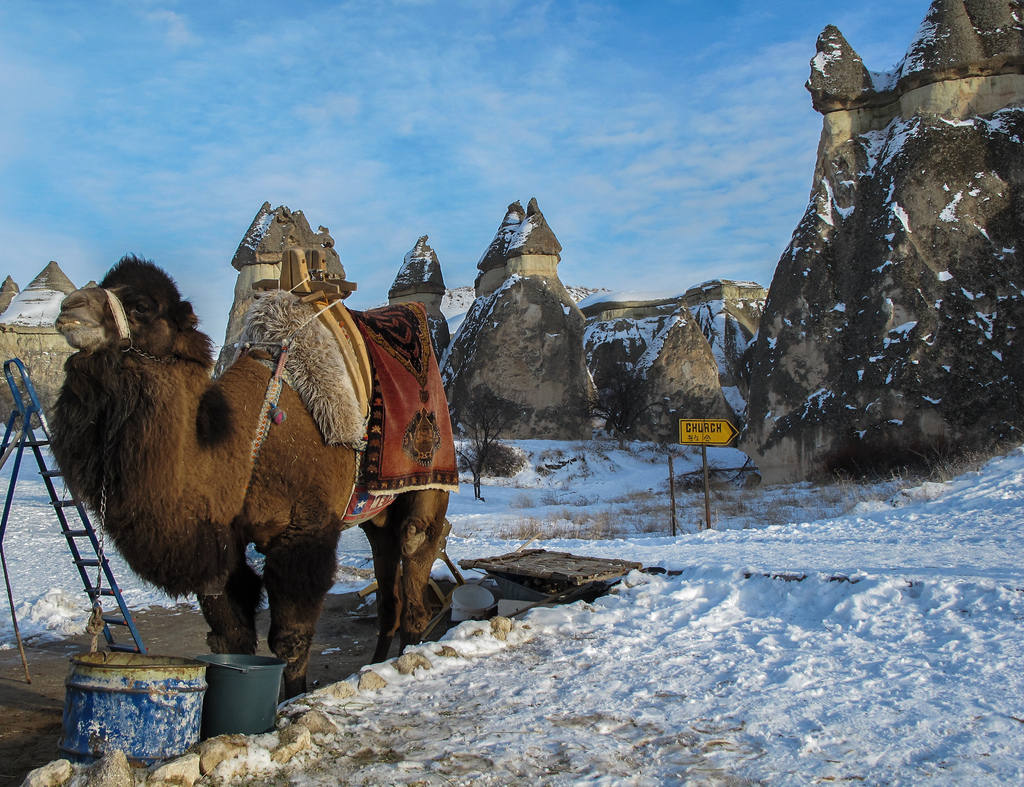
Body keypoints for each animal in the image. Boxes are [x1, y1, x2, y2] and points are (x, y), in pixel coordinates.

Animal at [48, 254, 448, 695]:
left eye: (142, 307)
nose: (69, 308)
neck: (244, 449)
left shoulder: (305, 532)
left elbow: (290, 640)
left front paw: (290, 701)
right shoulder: (225, 540)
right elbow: (231, 635)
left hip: (428, 486)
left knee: (415, 555)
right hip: (375, 514)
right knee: (388, 588)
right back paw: (377, 663)